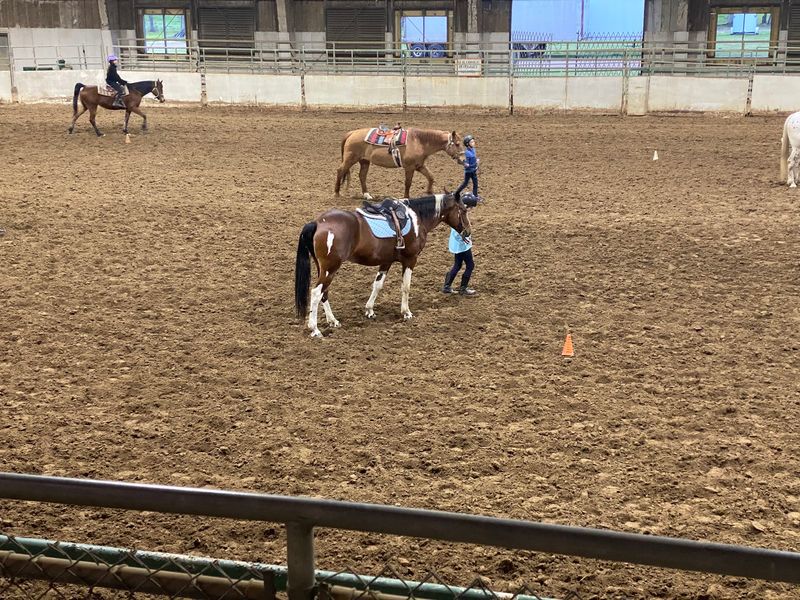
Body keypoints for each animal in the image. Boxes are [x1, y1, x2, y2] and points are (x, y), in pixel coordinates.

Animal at [295, 192, 482, 338]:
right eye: (463, 210)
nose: (468, 231)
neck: (417, 217)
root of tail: (319, 222)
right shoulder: (410, 260)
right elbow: (405, 287)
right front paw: (406, 312)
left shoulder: (386, 261)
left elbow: (377, 285)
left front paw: (369, 310)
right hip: (330, 269)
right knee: (316, 293)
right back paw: (315, 329)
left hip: (324, 269)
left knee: (324, 293)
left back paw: (333, 321)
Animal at [335, 128, 465, 200]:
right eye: (457, 144)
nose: (463, 160)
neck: (419, 141)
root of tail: (352, 133)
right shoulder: (409, 167)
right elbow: (408, 183)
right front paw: (406, 198)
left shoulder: (419, 166)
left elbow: (431, 177)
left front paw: (429, 192)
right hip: (350, 159)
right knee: (340, 171)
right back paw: (337, 193)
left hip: (364, 161)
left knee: (362, 176)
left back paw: (367, 195)